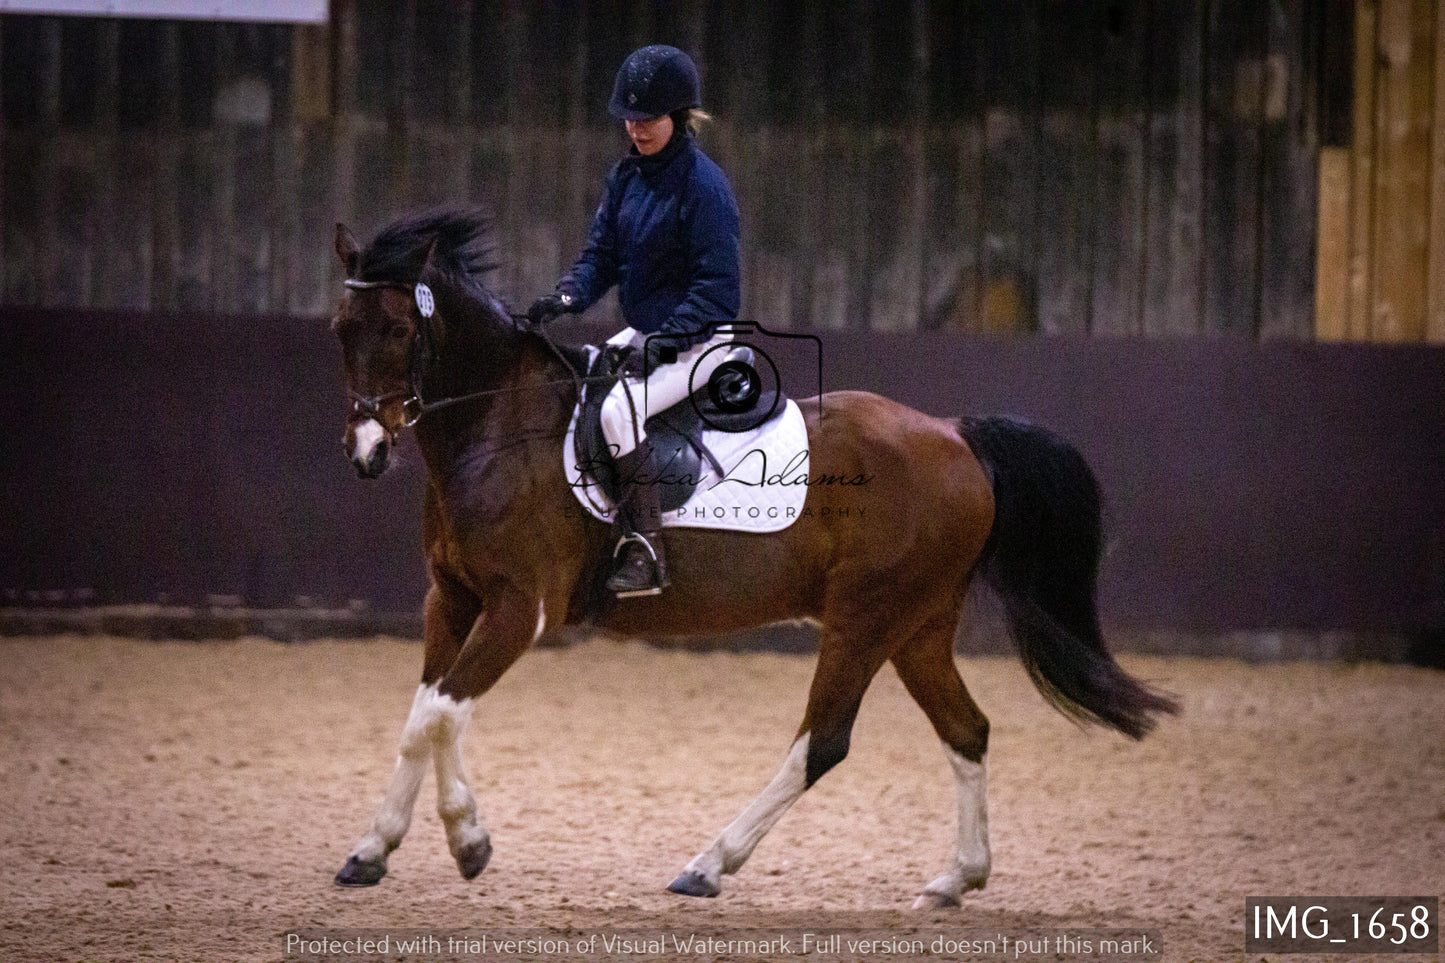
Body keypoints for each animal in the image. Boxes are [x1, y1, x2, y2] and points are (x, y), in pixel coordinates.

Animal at [328, 206, 1173, 902]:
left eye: (399, 331)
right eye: (340, 328)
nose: (368, 452)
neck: (497, 426)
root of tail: (954, 433)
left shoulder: (517, 607)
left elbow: (440, 712)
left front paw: (467, 840)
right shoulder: (452, 598)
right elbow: (423, 715)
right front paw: (373, 850)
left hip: (865, 617)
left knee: (823, 741)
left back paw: (708, 864)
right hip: (917, 624)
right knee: (966, 729)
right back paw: (956, 877)